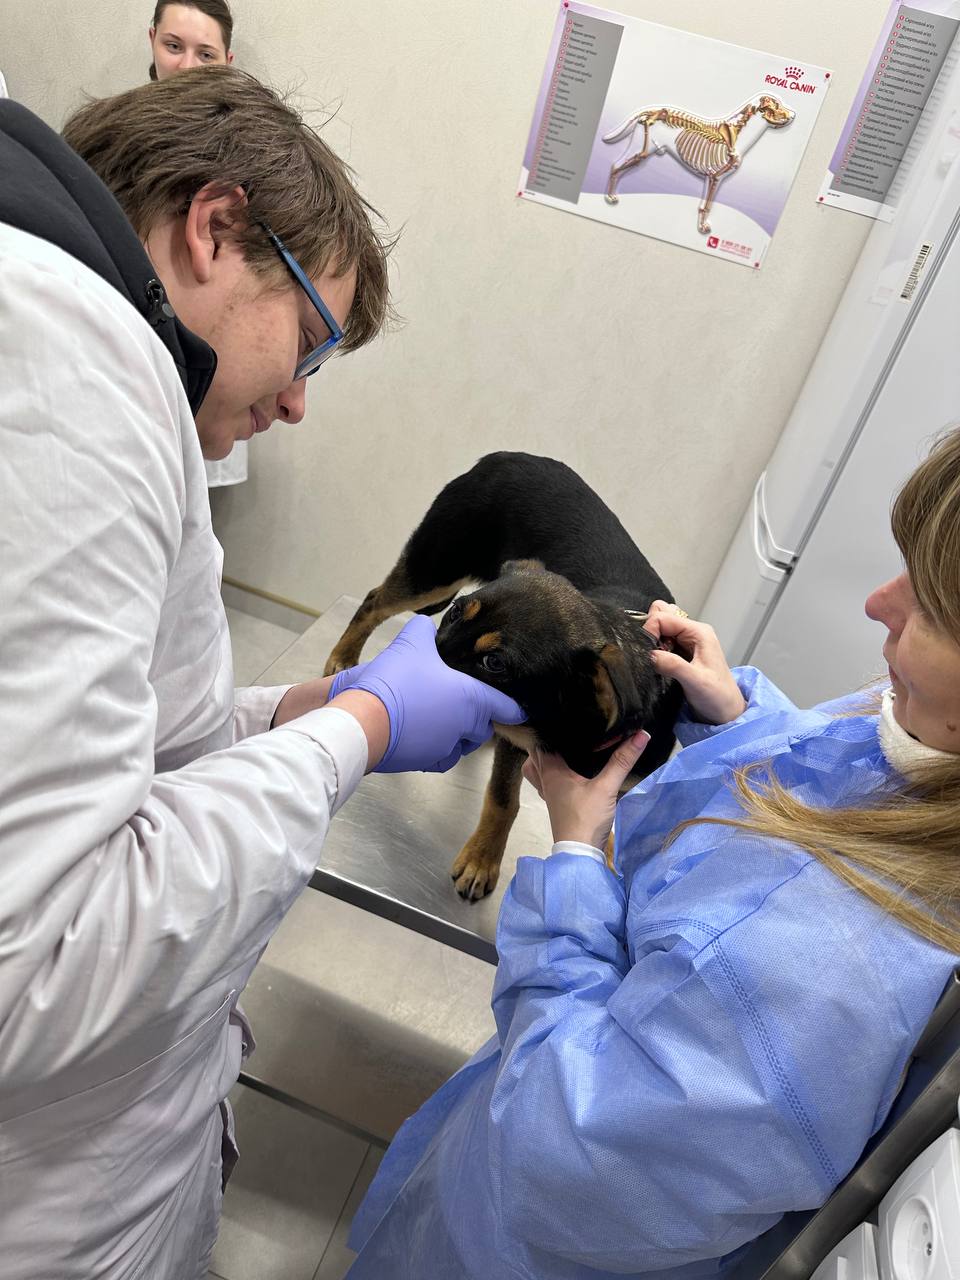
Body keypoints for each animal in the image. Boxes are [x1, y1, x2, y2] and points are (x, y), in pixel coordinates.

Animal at [324, 452, 683, 900]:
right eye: (456, 613)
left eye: (494, 663)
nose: (394, 677)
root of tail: (504, 456)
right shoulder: (516, 745)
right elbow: (503, 799)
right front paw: (482, 860)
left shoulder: (623, 780)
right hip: (434, 569)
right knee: (375, 601)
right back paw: (343, 655)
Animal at [602, 94, 795, 234]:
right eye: (776, 105)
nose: (793, 114)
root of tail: (651, 112)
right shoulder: (715, 178)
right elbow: (706, 206)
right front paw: (703, 228)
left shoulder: (712, 178)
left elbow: (703, 205)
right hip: (640, 151)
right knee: (615, 166)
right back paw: (610, 198)